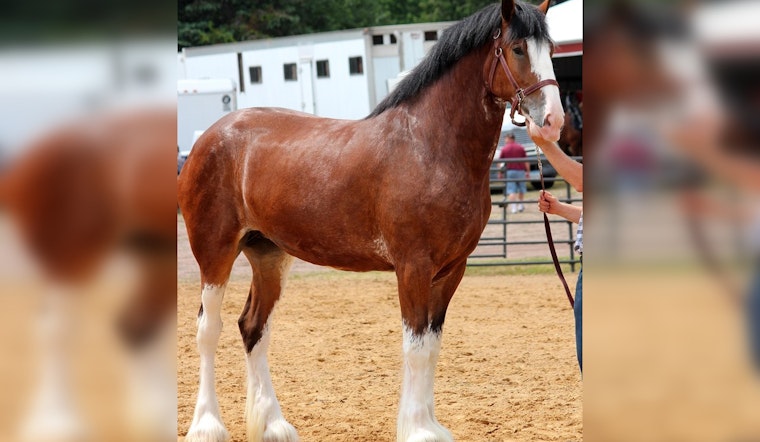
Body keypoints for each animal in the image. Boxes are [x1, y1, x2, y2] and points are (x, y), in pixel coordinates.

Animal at [177, 1, 564, 441]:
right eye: (517, 48)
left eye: (550, 49)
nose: (553, 120)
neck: (430, 146)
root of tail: (209, 137)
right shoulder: (413, 267)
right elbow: (415, 348)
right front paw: (417, 430)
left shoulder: (451, 270)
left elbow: (432, 347)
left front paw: (430, 425)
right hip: (215, 252)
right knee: (209, 330)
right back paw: (207, 426)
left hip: (268, 255)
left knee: (253, 327)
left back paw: (274, 425)